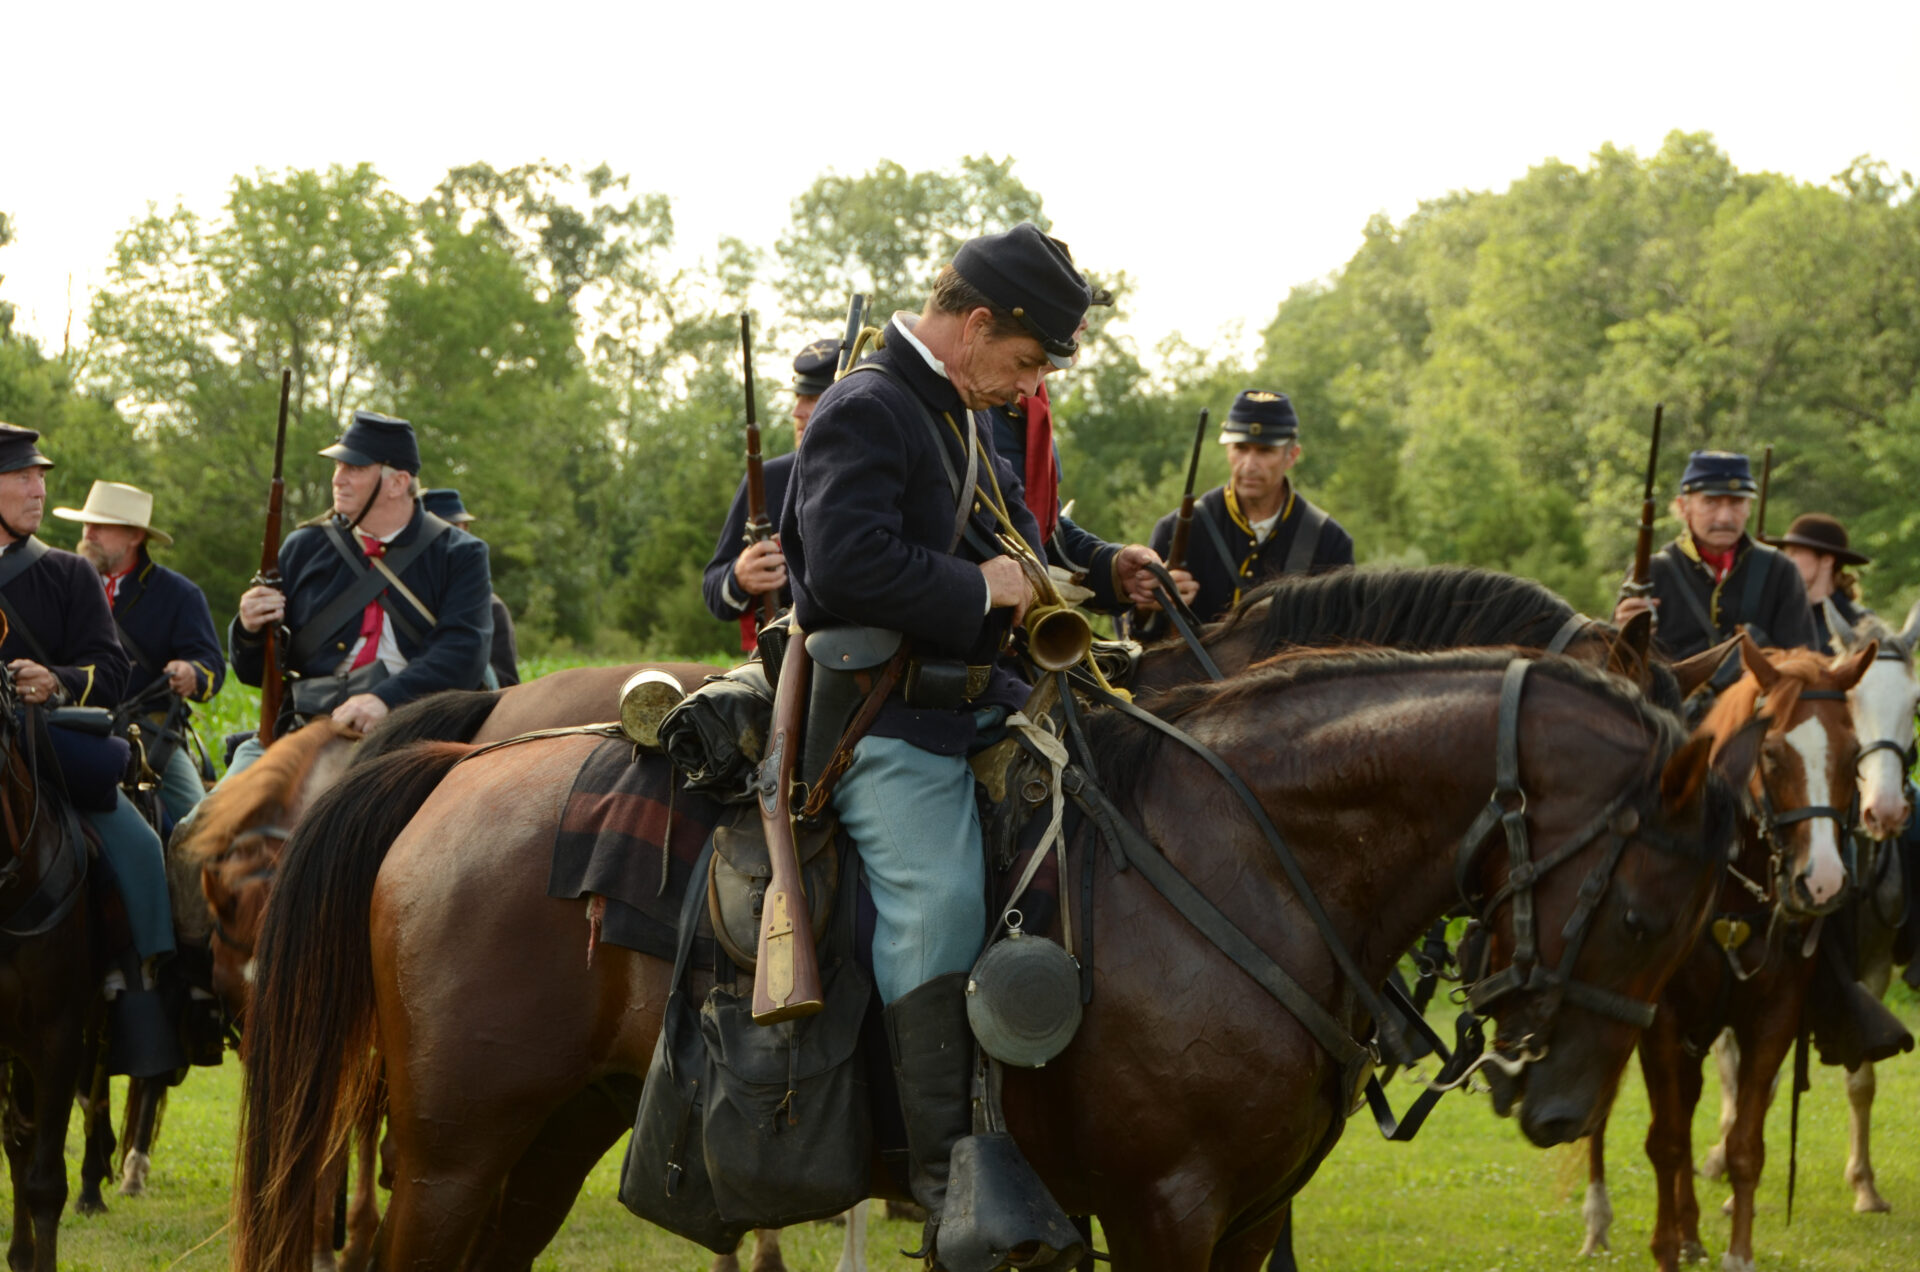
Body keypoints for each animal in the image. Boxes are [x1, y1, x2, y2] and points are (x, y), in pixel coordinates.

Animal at [228, 653, 1758, 1268]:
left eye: (1694, 923)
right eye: (1641, 911)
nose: (1553, 1105)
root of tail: (453, 769)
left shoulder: (1243, 1222)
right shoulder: (1167, 1212)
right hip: (451, 1153)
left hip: (545, 1144)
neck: (1241, 863)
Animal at [1582, 637, 1881, 1272]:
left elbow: (1744, 1144)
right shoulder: (1661, 1023)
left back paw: (1693, 1231)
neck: (1731, 895)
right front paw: (1665, 1248)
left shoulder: (1771, 1020)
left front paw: (1734, 1252)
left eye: (1852, 755)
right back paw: (1598, 1219)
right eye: (1771, 753)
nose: (1821, 883)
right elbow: (1667, 1141)